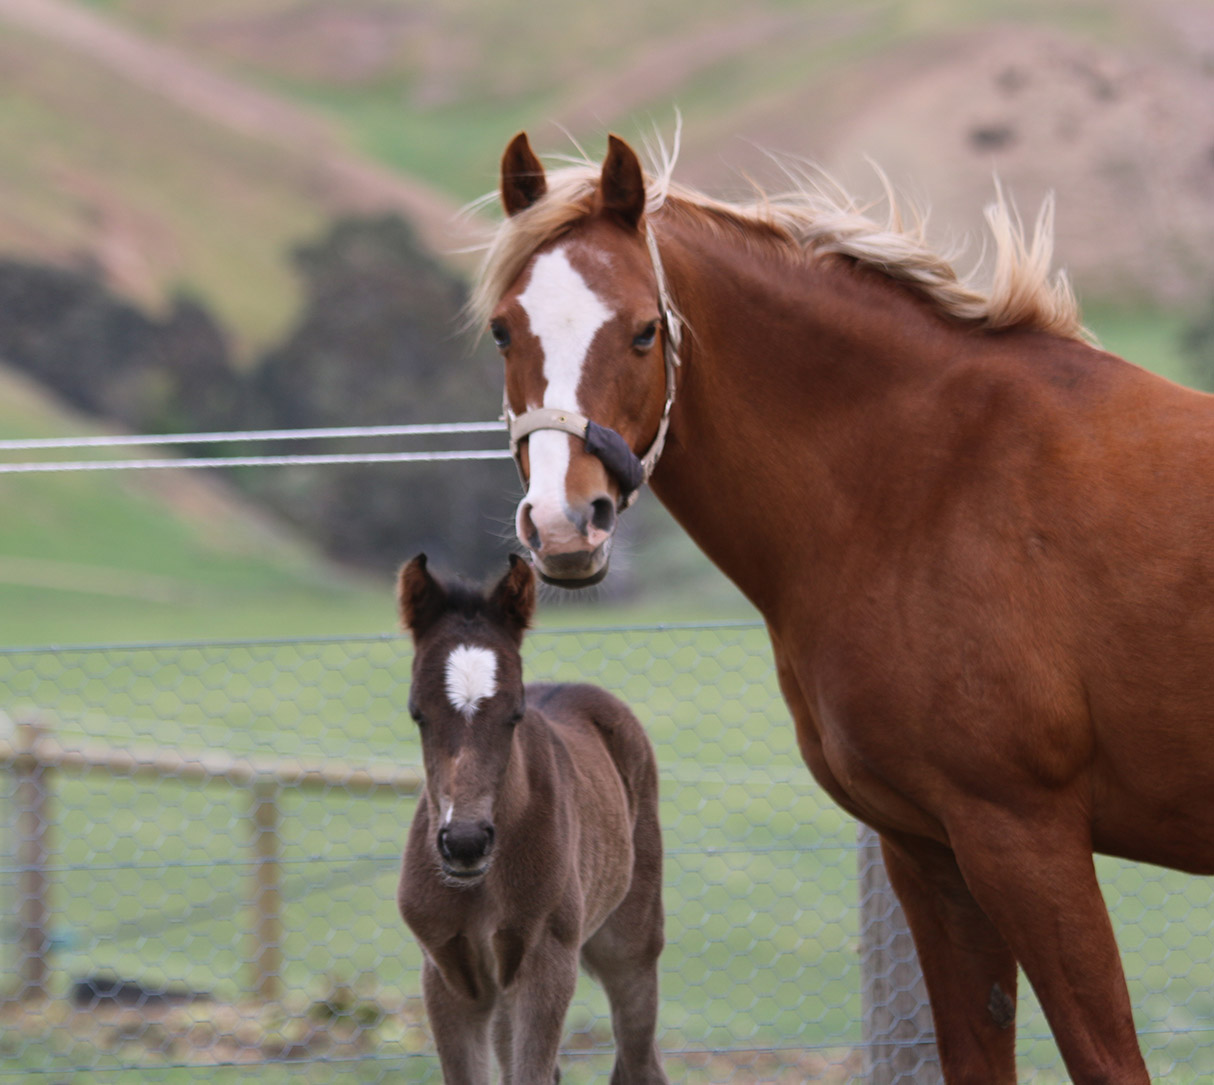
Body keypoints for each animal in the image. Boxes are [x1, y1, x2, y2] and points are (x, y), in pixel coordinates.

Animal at [395, 555, 665, 1082]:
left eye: (515, 714)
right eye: (418, 714)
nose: (465, 843)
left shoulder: (546, 966)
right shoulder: (447, 974)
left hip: (632, 949)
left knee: (640, 1062)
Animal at [468, 131, 1214, 1082]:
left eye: (642, 330)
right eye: (503, 329)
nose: (566, 523)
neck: (930, 480)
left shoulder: (1026, 838)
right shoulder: (930, 851)